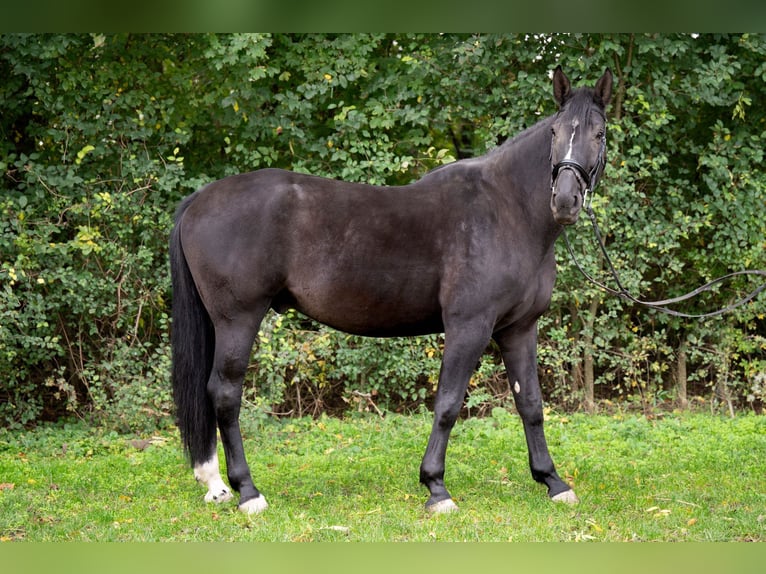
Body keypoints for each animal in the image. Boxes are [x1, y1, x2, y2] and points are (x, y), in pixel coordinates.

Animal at [171, 65, 616, 516]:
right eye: (556, 131)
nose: (565, 200)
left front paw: (553, 481)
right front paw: (436, 487)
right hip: (238, 319)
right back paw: (248, 491)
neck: (506, 209)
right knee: (225, 394)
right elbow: (448, 404)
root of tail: (198, 201)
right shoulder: (469, 327)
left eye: (599, 133)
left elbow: (531, 405)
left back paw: (216, 484)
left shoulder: (519, 328)